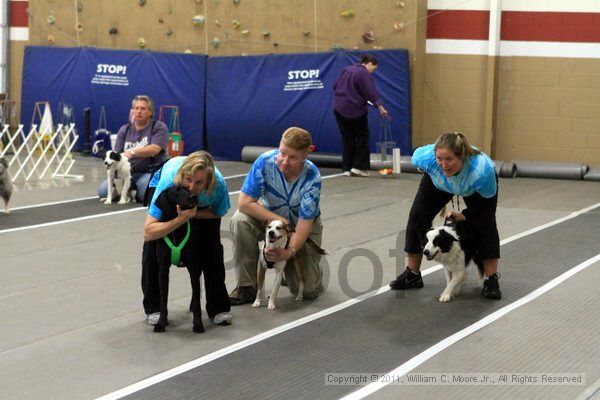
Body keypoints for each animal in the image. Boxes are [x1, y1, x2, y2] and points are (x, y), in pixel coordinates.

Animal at [152, 186, 204, 332]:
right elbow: (163, 300)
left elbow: (197, 296)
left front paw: (198, 324)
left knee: (196, 290)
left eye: (187, 189)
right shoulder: (163, 270)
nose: (194, 196)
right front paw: (161, 323)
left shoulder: (192, 266)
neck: (175, 228)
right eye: (176, 192)